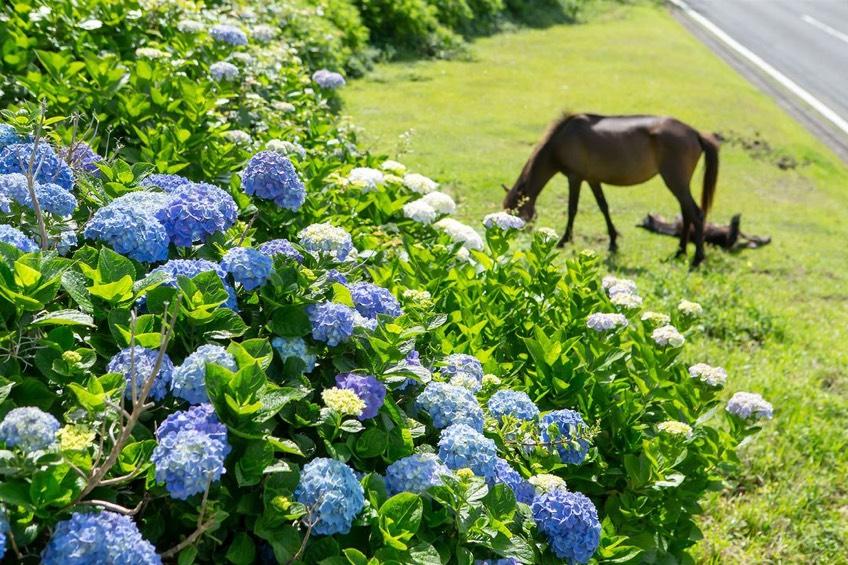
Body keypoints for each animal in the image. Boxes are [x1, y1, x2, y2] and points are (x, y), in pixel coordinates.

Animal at [506, 114, 720, 266]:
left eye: (515, 213)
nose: (517, 237)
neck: (563, 138)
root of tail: (695, 133)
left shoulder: (575, 178)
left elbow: (572, 209)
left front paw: (564, 240)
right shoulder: (593, 180)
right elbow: (604, 207)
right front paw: (613, 242)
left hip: (675, 182)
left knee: (696, 214)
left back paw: (697, 258)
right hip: (680, 185)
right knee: (687, 214)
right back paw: (679, 252)